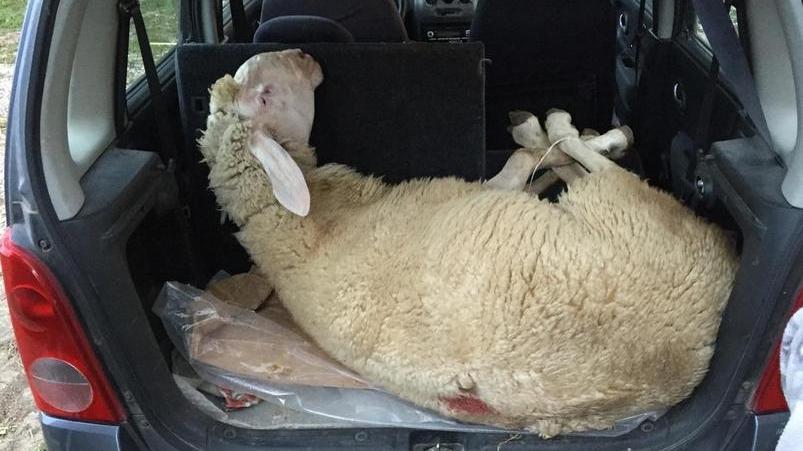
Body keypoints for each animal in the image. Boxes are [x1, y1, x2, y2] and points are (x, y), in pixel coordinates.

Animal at [198, 49, 739, 436]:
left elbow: (532, 172)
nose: (307, 55)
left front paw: (554, 160)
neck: (299, 225)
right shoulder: (484, 189)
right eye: (266, 91)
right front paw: (555, 138)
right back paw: (566, 127)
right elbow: (524, 161)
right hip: (628, 210)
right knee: (585, 162)